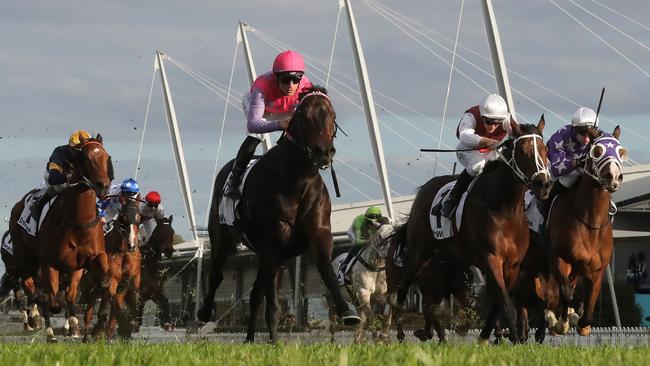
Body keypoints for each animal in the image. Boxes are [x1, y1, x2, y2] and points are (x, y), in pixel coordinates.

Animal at [7, 135, 111, 344]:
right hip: (24, 260)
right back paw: (41, 325)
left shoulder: (89, 259)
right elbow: (53, 299)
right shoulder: (49, 263)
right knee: (31, 289)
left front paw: (90, 326)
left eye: (106, 157)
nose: (103, 186)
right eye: (86, 158)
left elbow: (98, 285)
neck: (77, 221)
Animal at [79, 197, 140, 340]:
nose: (131, 244)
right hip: (89, 288)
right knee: (88, 311)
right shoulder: (111, 280)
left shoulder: (130, 281)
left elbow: (124, 304)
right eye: (123, 218)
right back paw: (88, 336)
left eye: (139, 218)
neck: (122, 252)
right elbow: (111, 306)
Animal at [197, 86, 360, 344]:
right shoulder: (272, 244)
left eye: (332, 115)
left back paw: (250, 338)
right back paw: (205, 314)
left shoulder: (317, 237)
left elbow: (327, 271)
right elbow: (272, 301)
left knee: (255, 292)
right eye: (303, 115)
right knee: (216, 276)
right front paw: (274, 341)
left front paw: (347, 312)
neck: (297, 181)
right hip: (223, 237)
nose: (323, 152)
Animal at [388, 118, 548, 344]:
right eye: (524, 151)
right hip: (421, 250)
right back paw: (397, 310)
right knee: (409, 277)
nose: (543, 183)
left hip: (452, 261)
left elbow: (499, 302)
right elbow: (507, 305)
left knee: (434, 301)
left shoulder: (513, 265)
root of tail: (424, 190)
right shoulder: (491, 259)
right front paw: (515, 338)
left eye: (545, 150)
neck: (505, 210)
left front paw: (485, 336)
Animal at [544, 126, 624, 338]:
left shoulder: (597, 269)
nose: (613, 176)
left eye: (621, 151)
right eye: (597, 151)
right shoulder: (559, 257)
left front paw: (581, 323)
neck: (590, 223)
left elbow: (588, 310)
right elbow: (566, 291)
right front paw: (567, 316)